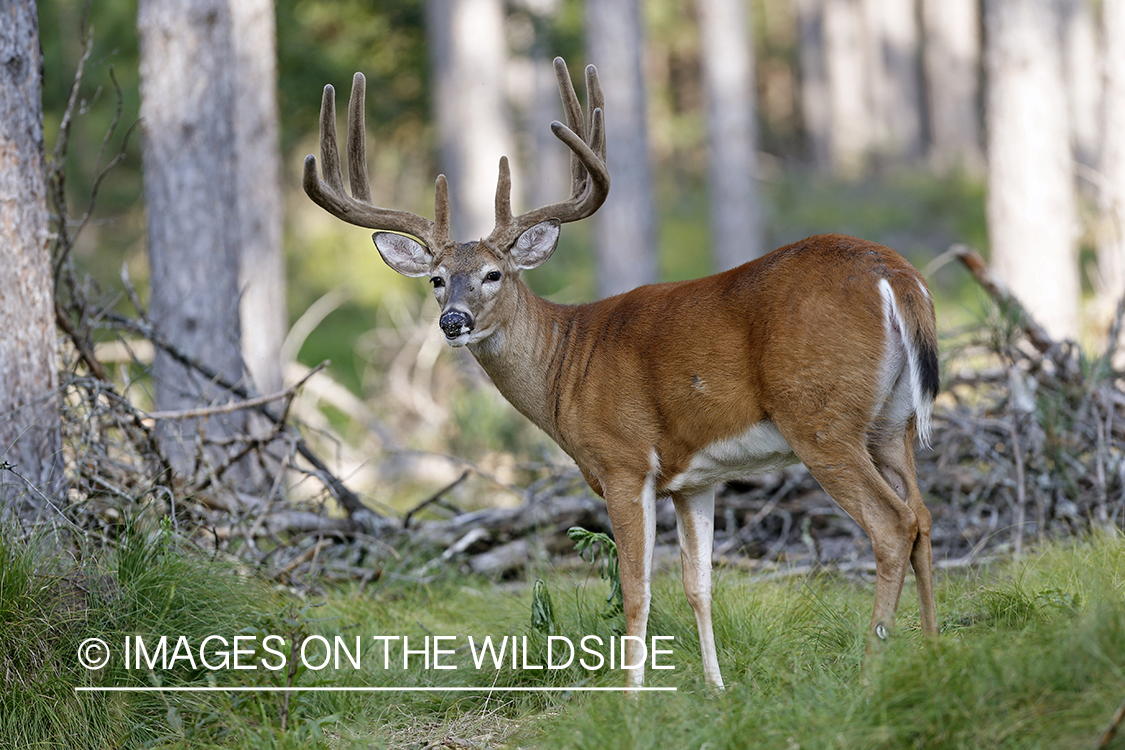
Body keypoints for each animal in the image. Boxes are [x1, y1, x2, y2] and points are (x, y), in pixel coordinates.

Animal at [301, 57, 940, 692]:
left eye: (493, 275)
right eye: (436, 279)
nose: (453, 321)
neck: (568, 363)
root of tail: (896, 276)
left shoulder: (624, 461)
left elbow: (637, 589)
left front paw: (631, 697)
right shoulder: (695, 479)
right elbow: (699, 585)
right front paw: (716, 687)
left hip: (820, 418)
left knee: (892, 524)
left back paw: (871, 671)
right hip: (892, 423)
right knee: (923, 518)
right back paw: (936, 650)